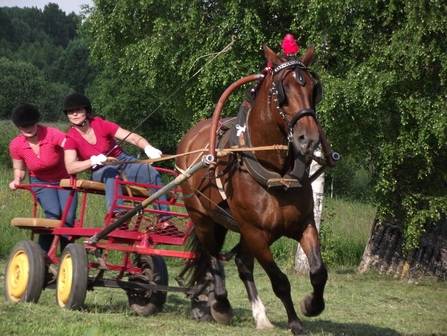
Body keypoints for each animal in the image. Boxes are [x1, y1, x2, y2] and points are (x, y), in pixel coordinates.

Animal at [178, 45, 328, 336]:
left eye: (313, 87)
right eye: (281, 91)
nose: (309, 139)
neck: (275, 172)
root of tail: (191, 136)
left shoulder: (304, 224)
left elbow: (318, 271)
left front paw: (311, 305)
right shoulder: (255, 233)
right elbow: (280, 280)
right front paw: (295, 323)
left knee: (240, 262)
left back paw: (259, 315)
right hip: (203, 218)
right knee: (213, 256)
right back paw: (220, 303)